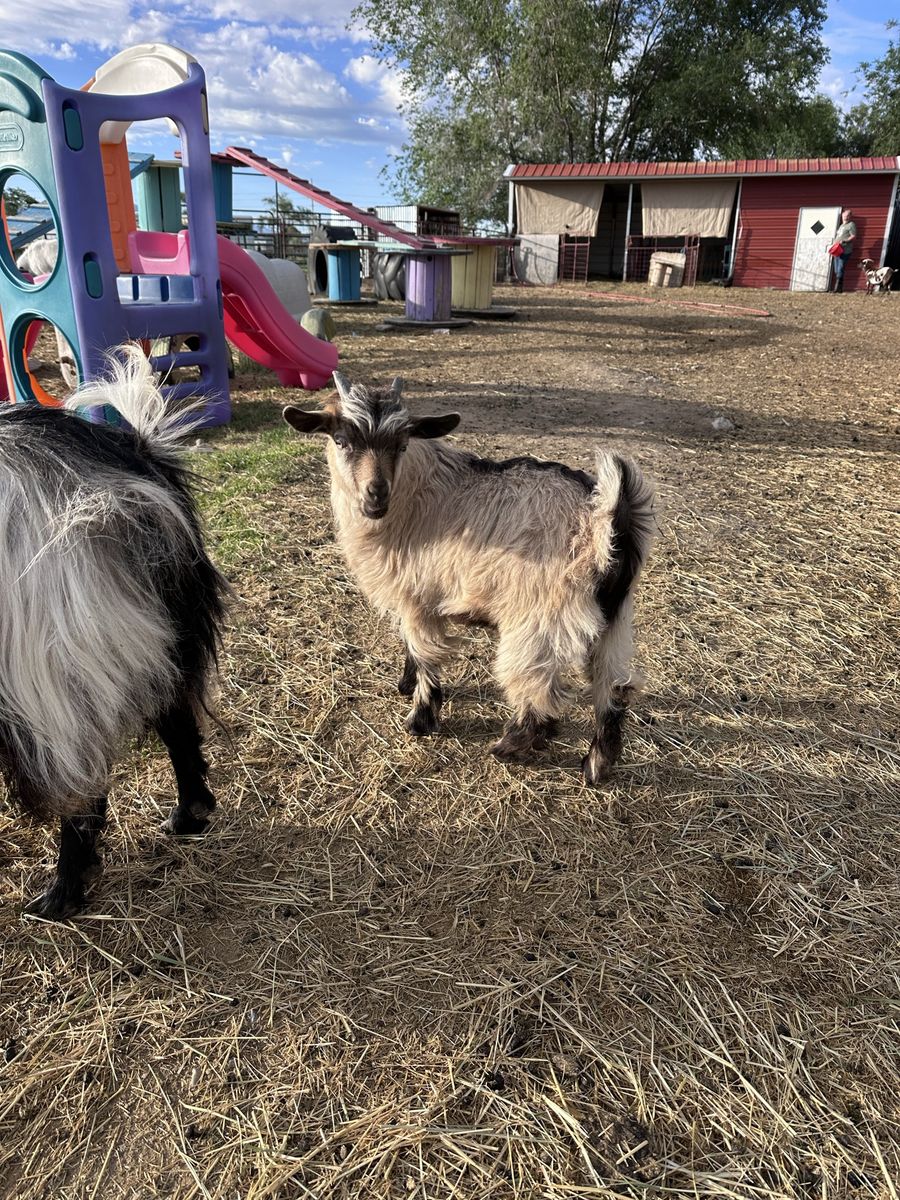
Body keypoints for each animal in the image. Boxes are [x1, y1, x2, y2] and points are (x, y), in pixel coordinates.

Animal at [0, 347, 229, 918]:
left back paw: (62, 893)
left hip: (53, 665)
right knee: (175, 716)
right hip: (161, 633)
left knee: (82, 779)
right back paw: (190, 815)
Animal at [283, 372, 655, 784]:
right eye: (341, 439)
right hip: (614, 621)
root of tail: (606, 517)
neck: (413, 497)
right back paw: (596, 765)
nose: (376, 495)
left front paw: (420, 719)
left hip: (538, 623)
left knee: (544, 696)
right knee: (615, 690)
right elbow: (411, 648)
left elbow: (426, 654)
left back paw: (509, 747)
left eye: (402, 443)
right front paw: (405, 684)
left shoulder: (419, 599)